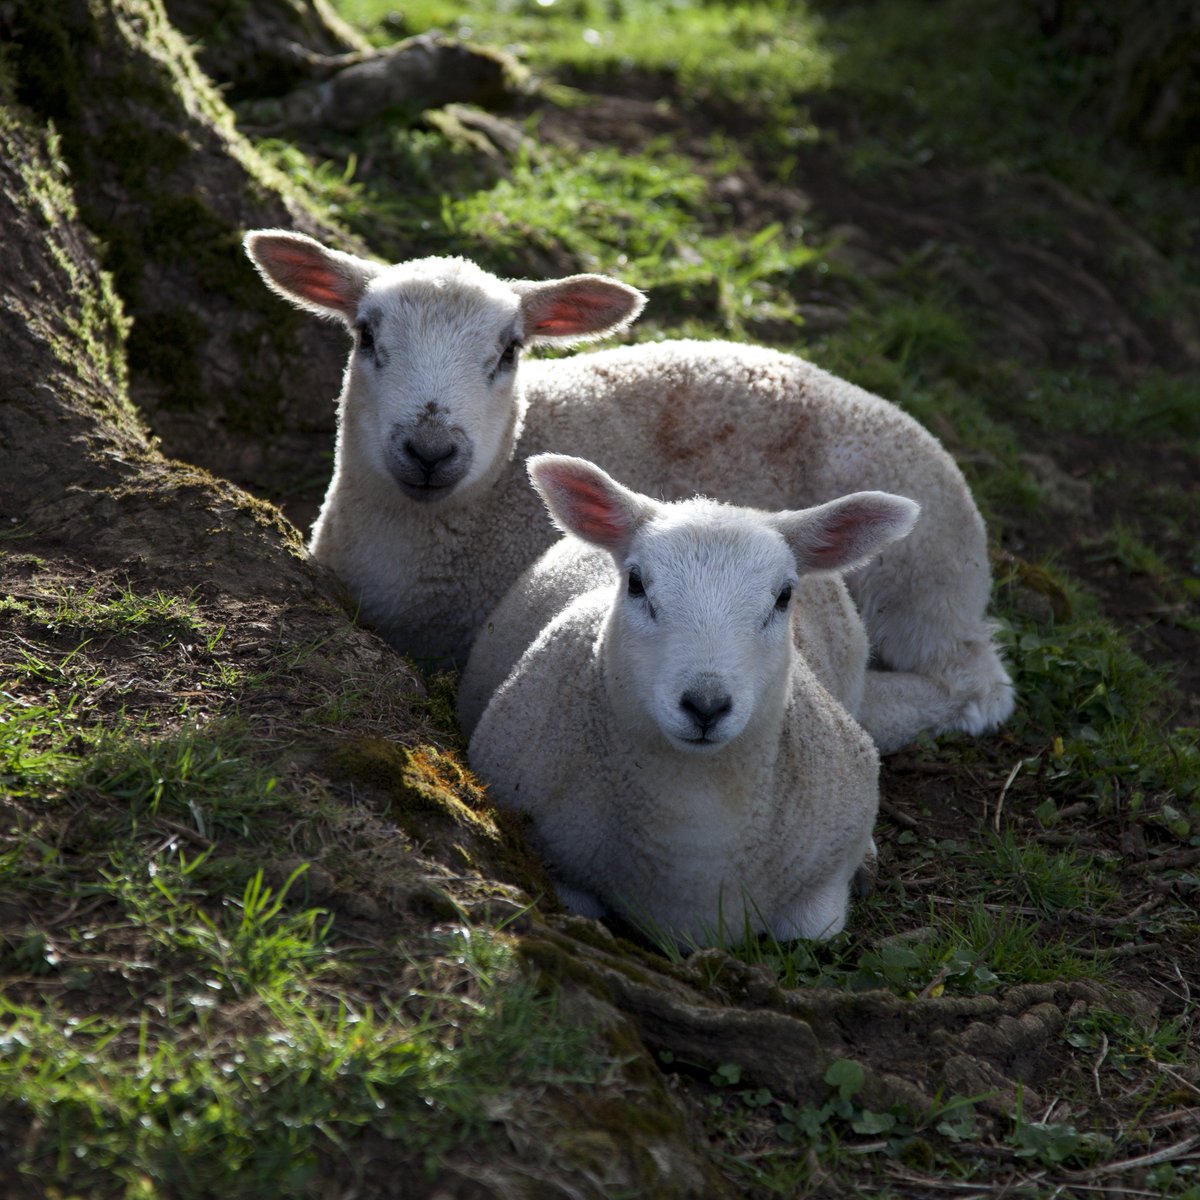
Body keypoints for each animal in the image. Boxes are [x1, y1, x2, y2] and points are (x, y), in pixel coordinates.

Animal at [461, 454, 920, 944]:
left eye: (784, 596)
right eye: (636, 583)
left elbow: (813, 928)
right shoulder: (554, 862)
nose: (706, 706)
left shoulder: (822, 885)